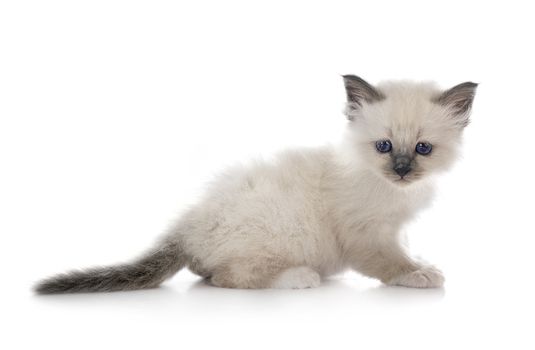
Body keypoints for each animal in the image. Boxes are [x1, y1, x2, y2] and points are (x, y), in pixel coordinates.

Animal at [34, 76, 478, 292]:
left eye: (422, 149)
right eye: (384, 146)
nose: (402, 170)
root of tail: (186, 227)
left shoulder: (393, 229)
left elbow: (404, 250)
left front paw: (422, 264)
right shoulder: (366, 234)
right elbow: (391, 262)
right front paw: (419, 275)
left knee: (206, 274)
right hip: (281, 231)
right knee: (228, 277)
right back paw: (299, 278)